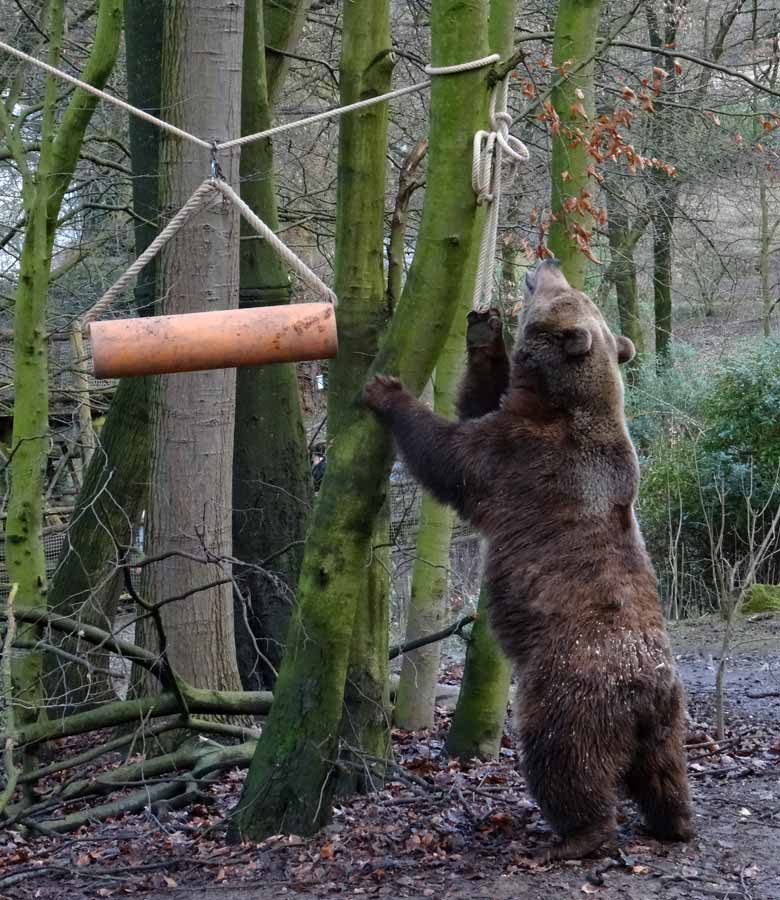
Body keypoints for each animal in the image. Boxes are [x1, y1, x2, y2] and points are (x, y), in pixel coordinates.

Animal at [364, 258, 696, 856]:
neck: (562, 401)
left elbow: (451, 454)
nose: (547, 262)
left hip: (569, 691)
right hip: (667, 717)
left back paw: (577, 835)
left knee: (563, 758)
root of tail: (643, 692)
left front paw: (387, 391)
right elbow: (479, 401)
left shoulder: (520, 459)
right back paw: (674, 821)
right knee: (664, 771)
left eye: (560, 292)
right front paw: (483, 333)